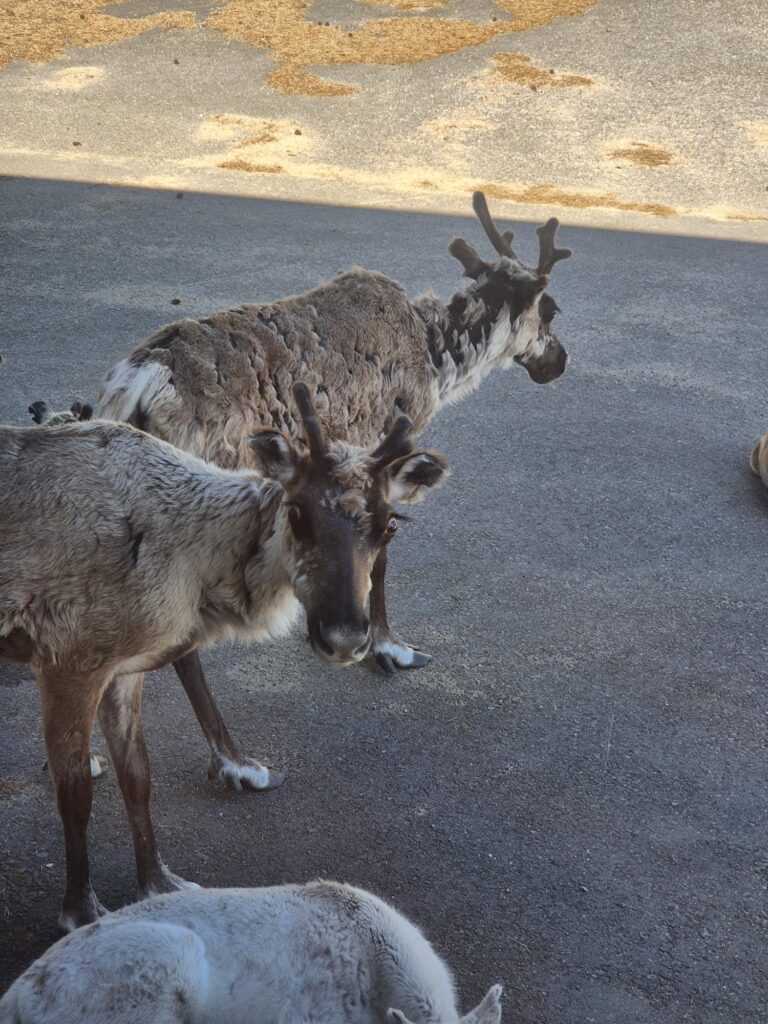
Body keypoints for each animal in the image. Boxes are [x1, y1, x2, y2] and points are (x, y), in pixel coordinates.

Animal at [0, 384, 448, 930]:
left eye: (390, 526)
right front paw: (82, 912)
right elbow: (75, 797)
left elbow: (138, 777)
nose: (343, 638)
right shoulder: (68, 662)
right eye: (297, 512)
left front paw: (159, 884)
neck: (189, 554)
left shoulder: (124, 669)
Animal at [90, 190, 572, 792]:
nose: (559, 362)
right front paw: (388, 646)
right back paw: (235, 760)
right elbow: (382, 560)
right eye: (550, 311)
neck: (437, 357)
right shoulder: (381, 455)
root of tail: (137, 384)